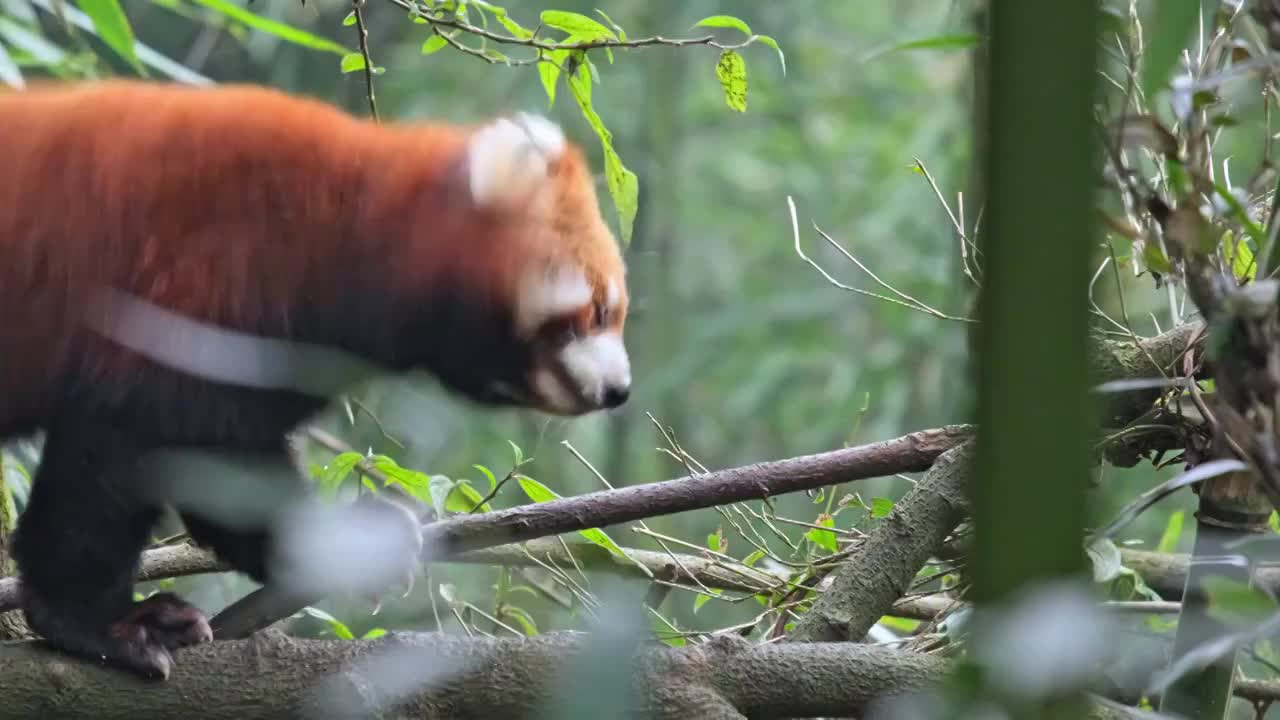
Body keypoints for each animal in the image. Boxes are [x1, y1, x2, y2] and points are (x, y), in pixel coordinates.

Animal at [0, 81, 632, 676]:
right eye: (599, 310)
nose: (620, 390)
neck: (343, 230)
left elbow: (227, 465)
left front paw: (347, 542)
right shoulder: (188, 286)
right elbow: (114, 460)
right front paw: (98, 623)